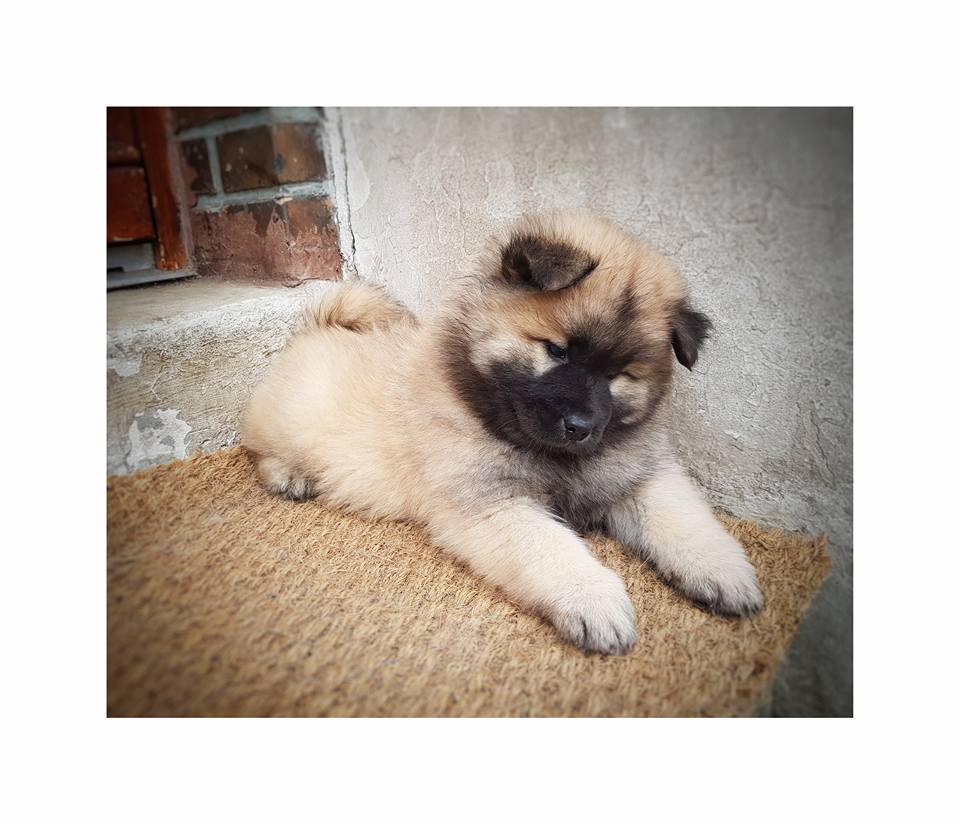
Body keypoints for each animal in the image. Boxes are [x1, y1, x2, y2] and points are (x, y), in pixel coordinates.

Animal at [242, 210, 762, 653]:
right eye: (557, 350)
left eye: (620, 374)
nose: (581, 427)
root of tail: (317, 327)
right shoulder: (494, 503)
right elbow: (552, 549)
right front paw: (595, 601)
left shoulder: (639, 475)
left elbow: (683, 518)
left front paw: (723, 571)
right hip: (293, 420)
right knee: (256, 446)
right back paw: (289, 476)